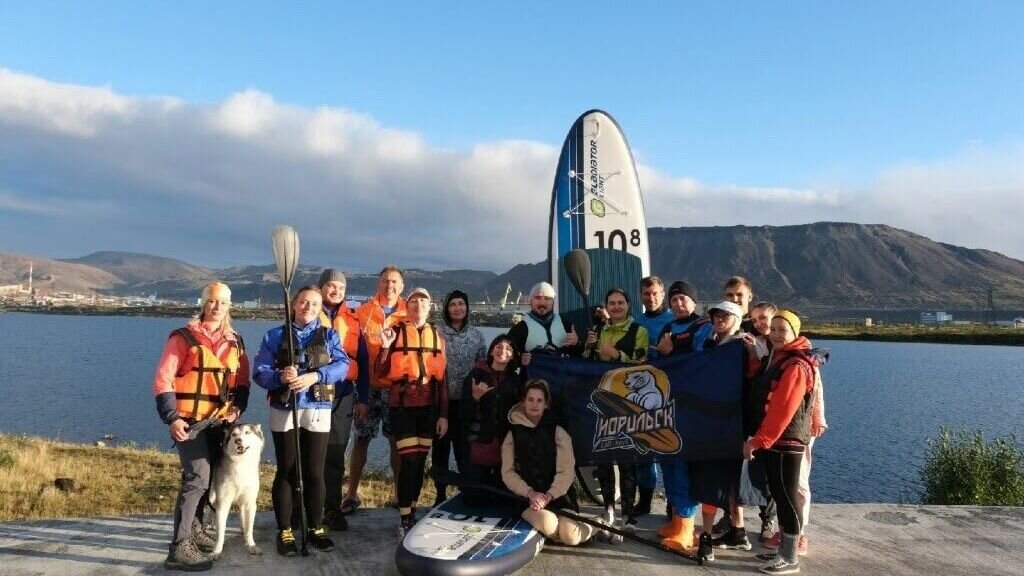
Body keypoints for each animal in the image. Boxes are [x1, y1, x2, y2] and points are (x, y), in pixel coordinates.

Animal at [206, 422, 262, 557]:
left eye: (247, 432)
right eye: (234, 435)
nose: (238, 440)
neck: (241, 463)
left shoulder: (250, 501)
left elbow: (249, 528)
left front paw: (251, 545)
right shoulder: (223, 502)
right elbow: (220, 532)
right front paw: (216, 551)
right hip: (212, 491)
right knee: (208, 506)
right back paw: (209, 522)